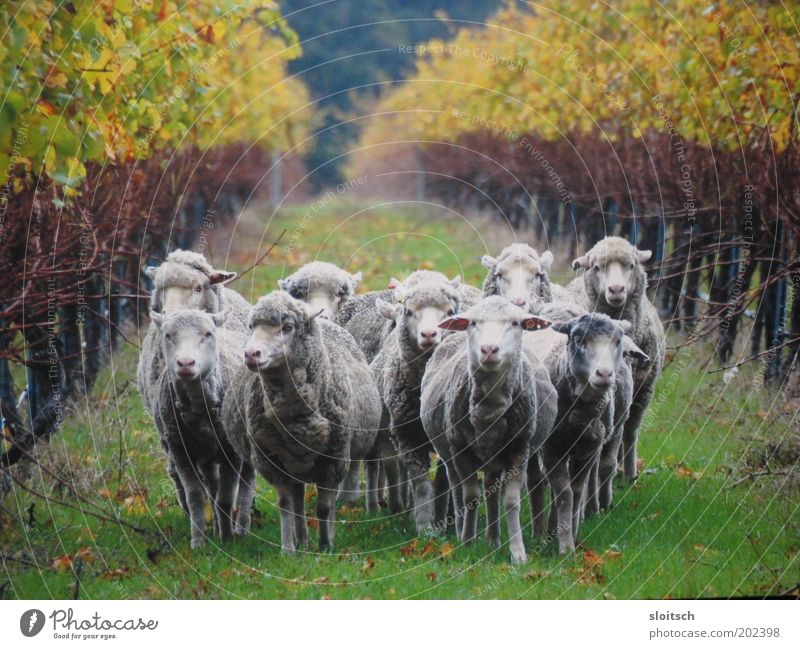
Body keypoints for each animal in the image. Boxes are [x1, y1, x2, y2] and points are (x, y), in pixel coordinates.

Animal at [148, 308, 252, 548]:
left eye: (208, 334)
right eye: (168, 335)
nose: (185, 363)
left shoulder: (231, 451)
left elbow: (226, 497)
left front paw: (227, 539)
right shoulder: (180, 451)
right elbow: (195, 496)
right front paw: (198, 542)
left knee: (246, 481)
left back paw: (241, 528)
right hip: (204, 454)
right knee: (212, 486)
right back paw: (215, 526)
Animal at [219, 292, 382, 548]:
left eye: (287, 327)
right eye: (251, 327)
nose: (251, 355)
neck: (295, 418)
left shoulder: (333, 461)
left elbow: (324, 507)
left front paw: (325, 546)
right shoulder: (273, 462)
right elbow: (286, 505)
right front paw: (288, 549)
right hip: (293, 463)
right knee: (297, 501)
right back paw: (302, 540)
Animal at [370, 270, 460, 528]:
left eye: (450, 312)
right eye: (409, 311)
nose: (429, 334)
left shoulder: (444, 437)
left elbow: (442, 483)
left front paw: (441, 521)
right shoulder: (407, 435)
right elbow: (420, 485)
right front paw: (423, 526)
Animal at [418, 294, 556, 560]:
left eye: (515, 323)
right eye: (473, 323)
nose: (489, 349)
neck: (489, 413)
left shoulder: (519, 449)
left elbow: (511, 501)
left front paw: (518, 553)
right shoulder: (461, 451)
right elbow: (470, 497)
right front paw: (467, 543)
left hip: (511, 453)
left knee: (500, 488)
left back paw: (499, 539)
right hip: (449, 453)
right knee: (457, 488)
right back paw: (467, 533)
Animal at [568, 235, 668, 478]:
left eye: (631, 265)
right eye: (597, 267)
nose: (616, 289)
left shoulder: (643, 391)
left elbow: (629, 432)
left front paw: (630, 474)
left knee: (628, 431)